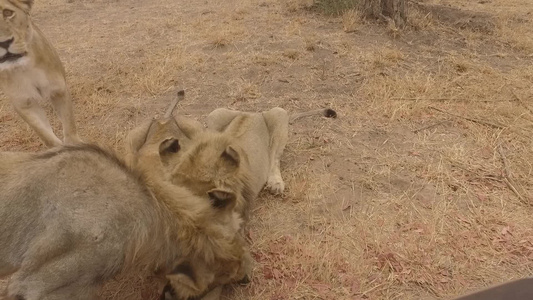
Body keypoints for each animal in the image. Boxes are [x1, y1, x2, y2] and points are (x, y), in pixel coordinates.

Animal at [0, 0, 81, 148]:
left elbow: (69, 124)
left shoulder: (59, 90)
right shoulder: (24, 103)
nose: (4, 43)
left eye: (7, 13)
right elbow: (44, 133)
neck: (24, 68)